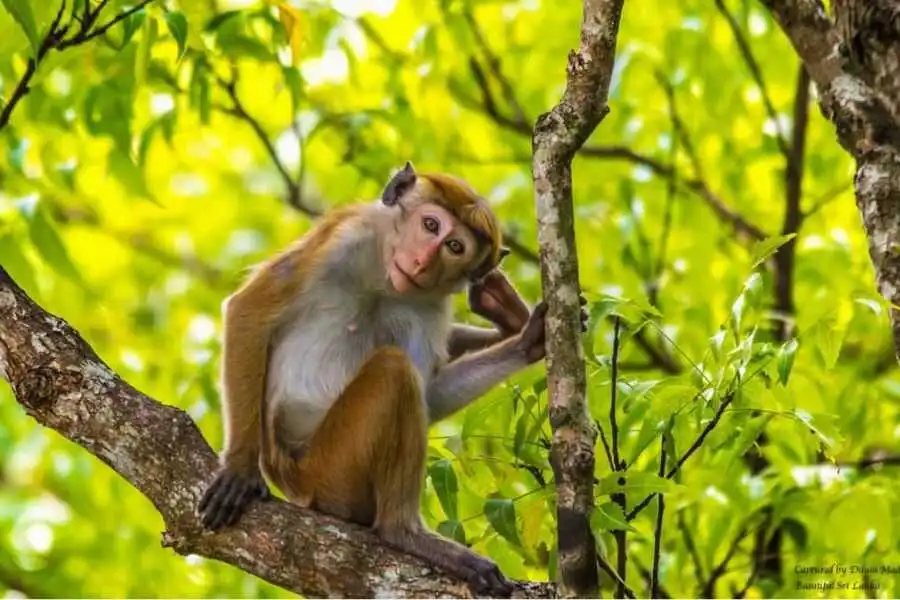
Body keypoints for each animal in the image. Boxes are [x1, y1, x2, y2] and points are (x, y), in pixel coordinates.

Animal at [197, 163, 586, 596]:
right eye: (431, 225)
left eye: (455, 247)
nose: (420, 261)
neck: (384, 275)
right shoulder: (344, 237)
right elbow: (250, 311)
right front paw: (240, 469)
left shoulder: (430, 307)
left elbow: (430, 395)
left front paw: (529, 341)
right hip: (329, 472)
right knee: (392, 370)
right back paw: (400, 532)